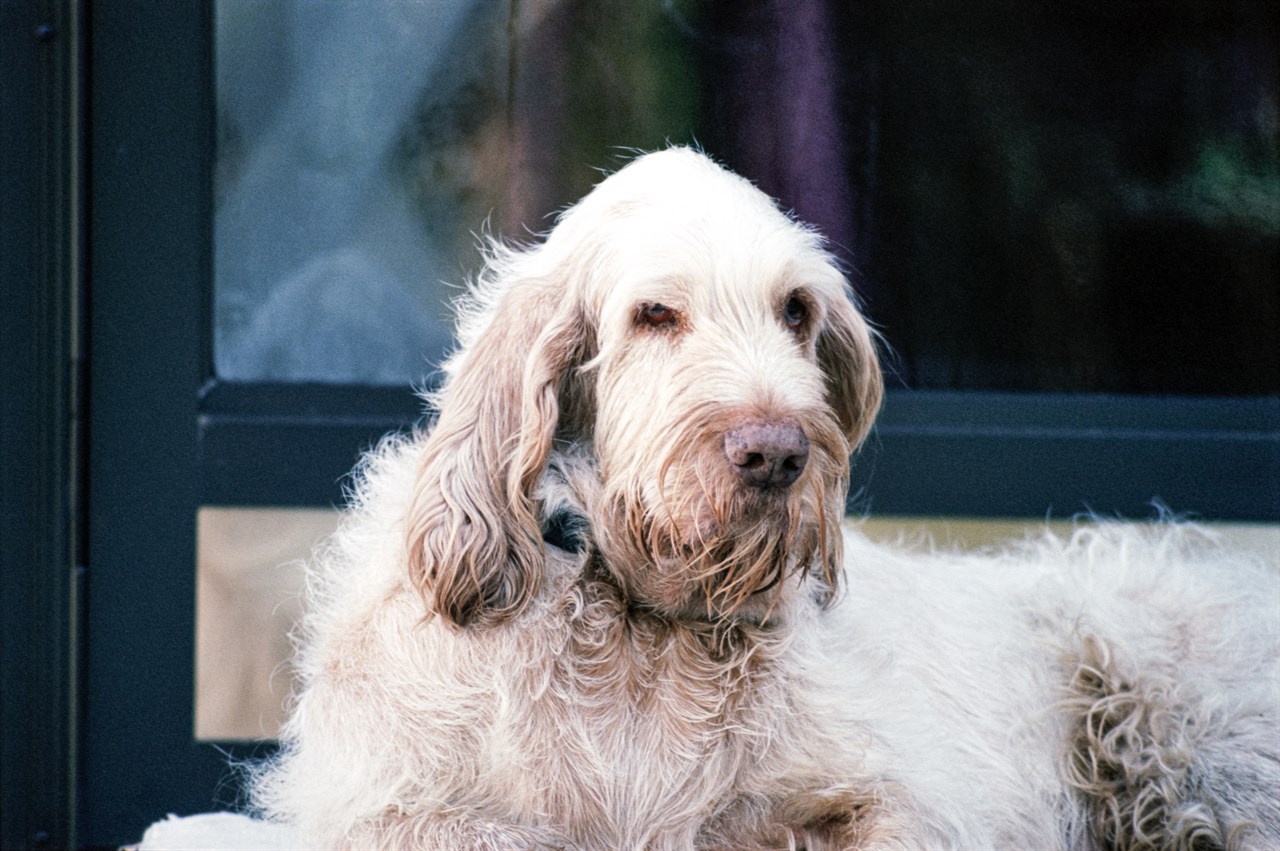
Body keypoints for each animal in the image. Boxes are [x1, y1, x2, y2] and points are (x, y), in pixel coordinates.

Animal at [249, 149, 1280, 844]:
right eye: (655, 314)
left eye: (796, 310)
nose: (778, 454)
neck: (645, 630)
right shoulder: (399, 805)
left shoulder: (896, 801)